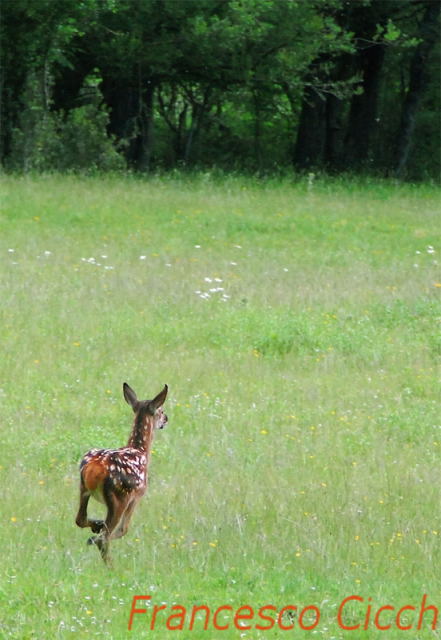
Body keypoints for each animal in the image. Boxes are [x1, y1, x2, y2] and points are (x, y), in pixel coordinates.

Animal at [75, 382, 168, 564]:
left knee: (80, 519)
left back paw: (96, 525)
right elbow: (124, 529)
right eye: (160, 410)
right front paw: (92, 538)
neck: (140, 450)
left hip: (83, 488)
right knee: (106, 535)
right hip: (120, 497)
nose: (166, 419)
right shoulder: (137, 496)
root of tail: (95, 467)